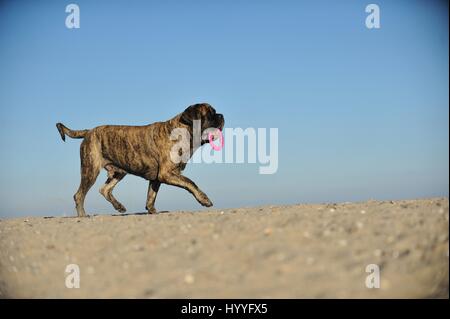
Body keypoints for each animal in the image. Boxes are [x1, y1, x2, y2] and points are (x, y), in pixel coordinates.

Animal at [56, 102, 225, 218]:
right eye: (209, 114)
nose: (221, 116)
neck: (183, 132)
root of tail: (88, 131)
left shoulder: (157, 178)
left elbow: (151, 196)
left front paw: (152, 211)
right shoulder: (166, 173)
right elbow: (190, 182)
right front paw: (204, 199)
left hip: (118, 172)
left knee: (104, 189)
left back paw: (119, 206)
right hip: (90, 170)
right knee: (79, 195)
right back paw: (83, 215)